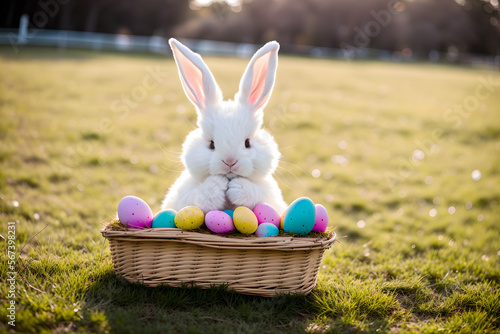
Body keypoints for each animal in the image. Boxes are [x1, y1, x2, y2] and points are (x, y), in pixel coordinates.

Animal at [160, 38, 286, 214]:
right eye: (211, 144)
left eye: (247, 143)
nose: (230, 161)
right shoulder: (184, 197)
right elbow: (198, 196)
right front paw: (217, 185)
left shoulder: (270, 196)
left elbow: (257, 193)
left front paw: (237, 188)